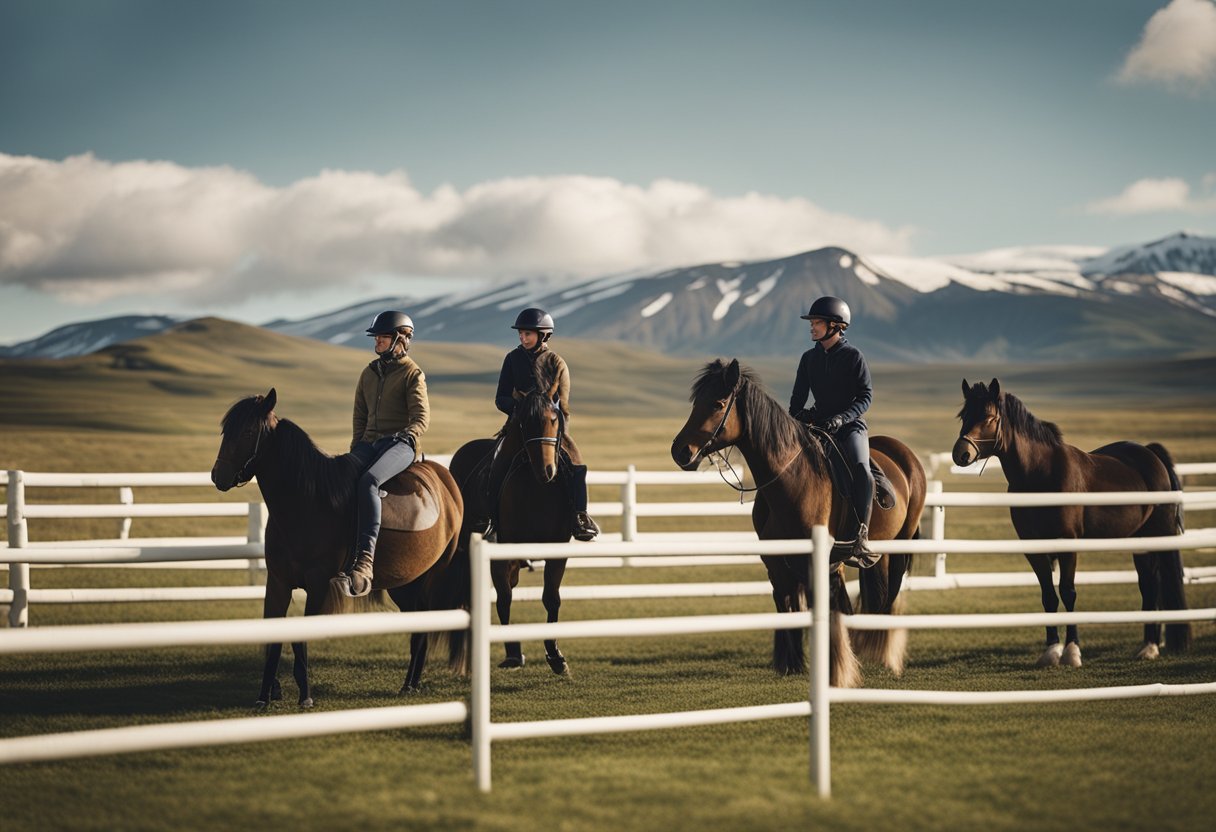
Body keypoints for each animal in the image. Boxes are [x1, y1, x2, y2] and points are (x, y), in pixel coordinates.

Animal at [210, 391, 464, 710]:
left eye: (247, 432)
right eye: (225, 431)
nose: (218, 475)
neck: (307, 502)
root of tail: (445, 479)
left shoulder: (318, 585)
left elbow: (300, 637)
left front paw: (305, 695)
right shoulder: (278, 582)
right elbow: (274, 637)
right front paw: (264, 696)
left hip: (433, 576)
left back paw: (409, 684)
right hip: (405, 583)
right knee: (419, 626)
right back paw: (412, 683)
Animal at [449, 350, 576, 676]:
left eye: (554, 419)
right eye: (524, 424)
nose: (547, 470)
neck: (537, 490)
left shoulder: (558, 549)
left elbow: (551, 598)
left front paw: (556, 655)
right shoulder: (501, 551)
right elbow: (504, 600)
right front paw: (512, 653)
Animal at [671, 360, 924, 686]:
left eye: (717, 404)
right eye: (696, 402)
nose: (680, 451)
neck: (793, 481)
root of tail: (905, 455)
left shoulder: (818, 562)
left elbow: (823, 606)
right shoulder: (777, 563)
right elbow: (787, 605)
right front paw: (791, 664)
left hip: (899, 547)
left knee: (890, 593)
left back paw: (880, 651)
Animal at [948, 379, 1186, 666]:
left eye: (989, 417)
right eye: (964, 416)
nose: (961, 453)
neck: (1040, 474)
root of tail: (1150, 453)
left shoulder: (1067, 543)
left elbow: (1068, 592)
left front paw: (1072, 652)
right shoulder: (1033, 547)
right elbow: (1048, 596)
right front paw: (1051, 651)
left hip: (1159, 535)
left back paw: (1155, 645)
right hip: (1139, 542)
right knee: (1149, 584)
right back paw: (1148, 646)